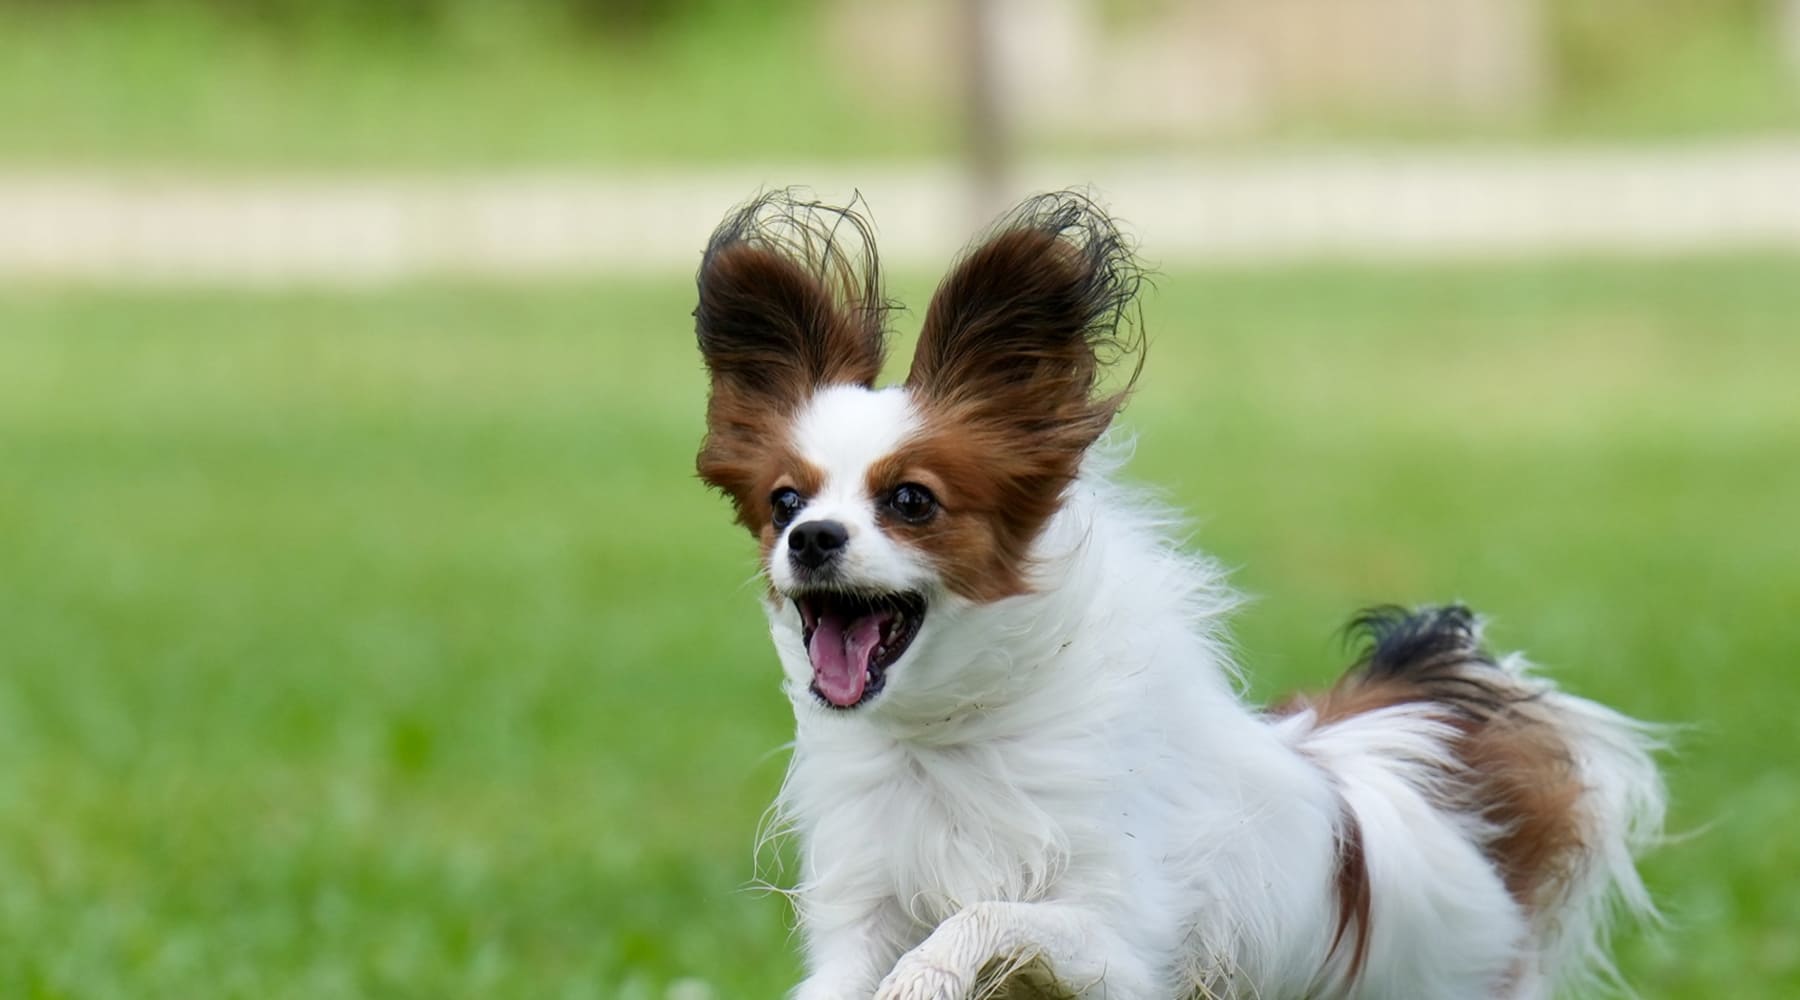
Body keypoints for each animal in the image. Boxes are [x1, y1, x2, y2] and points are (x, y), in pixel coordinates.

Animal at [687, 189, 1656, 1000]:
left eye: (911, 501)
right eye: (785, 503)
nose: (813, 539)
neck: (948, 740)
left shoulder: (1122, 941)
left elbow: (982, 918)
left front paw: (925, 978)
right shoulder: (859, 921)